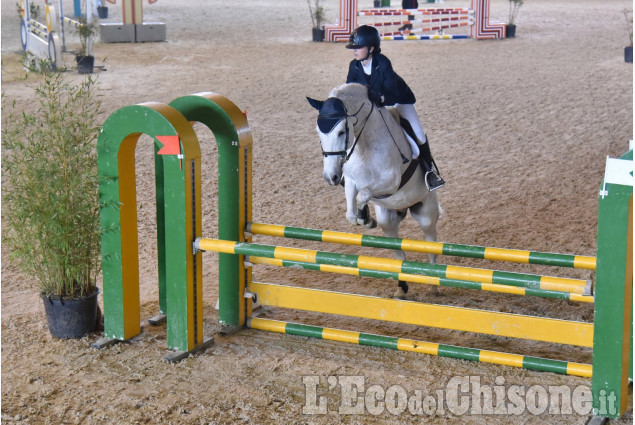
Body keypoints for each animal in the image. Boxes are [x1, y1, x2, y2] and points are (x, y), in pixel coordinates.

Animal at [310, 83, 442, 298]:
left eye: (341, 132)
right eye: (319, 133)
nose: (331, 177)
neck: (365, 142)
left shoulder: (391, 180)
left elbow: (363, 194)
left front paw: (364, 217)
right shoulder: (351, 179)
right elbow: (351, 209)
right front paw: (364, 219)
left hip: (426, 215)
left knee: (431, 245)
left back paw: (433, 284)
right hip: (388, 220)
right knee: (398, 253)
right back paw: (401, 288)